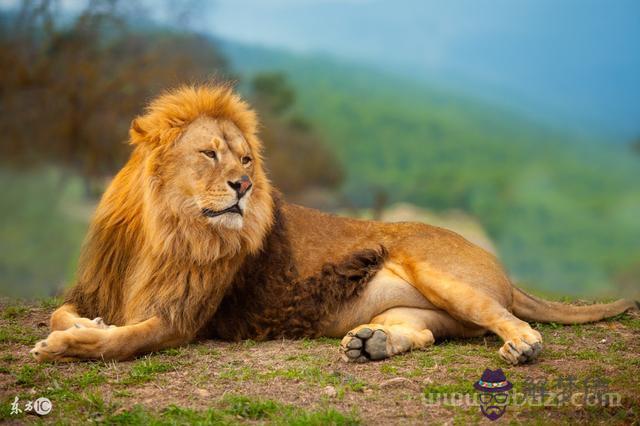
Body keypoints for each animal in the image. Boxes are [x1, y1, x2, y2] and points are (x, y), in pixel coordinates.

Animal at [31, 85, 640, 364]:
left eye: (246, 159)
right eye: (209, 154)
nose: (243, 186)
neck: (166, 229)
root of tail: (503, 270)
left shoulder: (184, 319)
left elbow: (120, 341)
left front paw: (68, 344)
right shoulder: (98, 286)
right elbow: (66, 311)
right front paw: (83, 324)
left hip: (440, 272)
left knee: (506, 317)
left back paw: (522, 347)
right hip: (425, 310)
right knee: (426, 330)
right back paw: (371, 344)